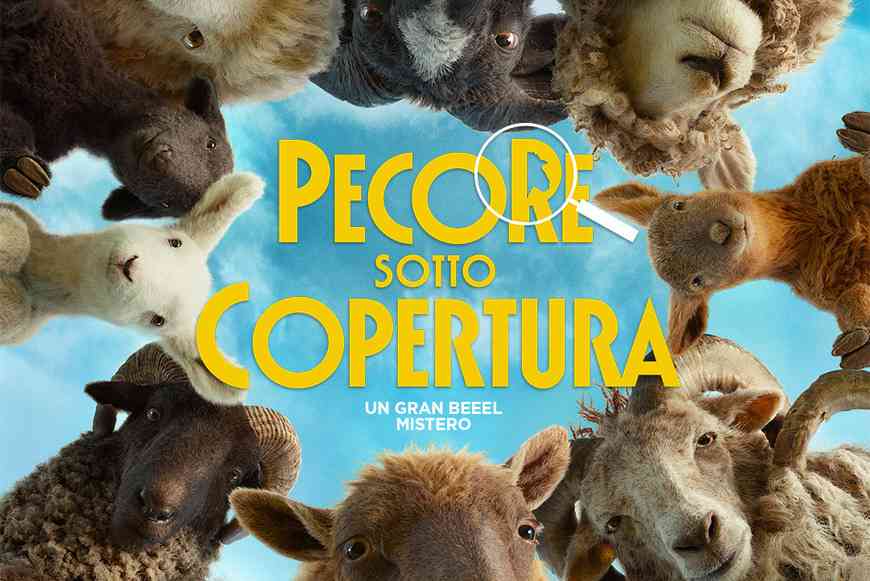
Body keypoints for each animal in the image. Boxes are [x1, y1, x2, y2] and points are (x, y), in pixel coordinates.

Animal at [592, 111, 870, 368]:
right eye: (697, 281)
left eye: (679, 204)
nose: (721, 232)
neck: (809, 228)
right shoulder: (825, 288)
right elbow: (851, 300)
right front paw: (859, 341)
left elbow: (861, 170)